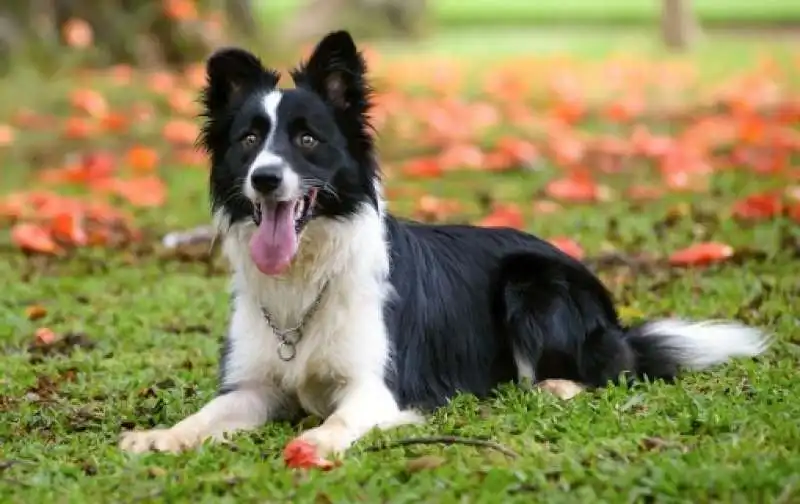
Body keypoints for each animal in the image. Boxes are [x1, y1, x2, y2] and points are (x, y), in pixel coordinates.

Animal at [119, 30, 768, 456]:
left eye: (307, 139)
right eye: (250, 140)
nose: (266, 179)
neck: (308, 275)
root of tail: (612, 316)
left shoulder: (378, 388)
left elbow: (338, 422)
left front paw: (316, 443)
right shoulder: (254, 386)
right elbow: (206, 414)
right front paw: (159, 436)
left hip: (532, 283)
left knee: (602, 371)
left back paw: (556, 385)